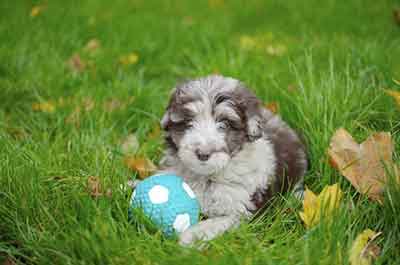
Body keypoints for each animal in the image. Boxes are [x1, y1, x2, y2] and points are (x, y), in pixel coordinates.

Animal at [158, 73, 308, 243]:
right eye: (189, 123)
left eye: (225, 124)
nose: (203, 154)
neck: (207, 178)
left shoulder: (241, 210)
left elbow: (216, 222)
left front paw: (190, 236)